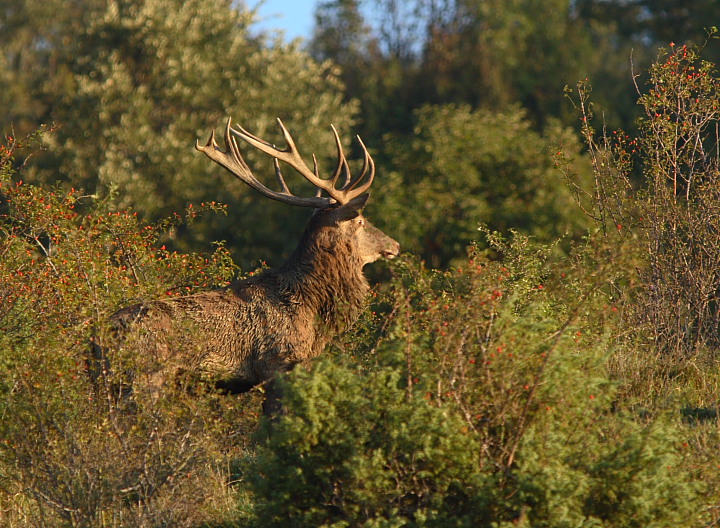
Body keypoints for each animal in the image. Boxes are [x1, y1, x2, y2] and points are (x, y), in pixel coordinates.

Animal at [101, 118, 400, 414]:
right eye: (360, 221)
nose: (395, 244)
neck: (311, 308)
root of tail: (102, 334)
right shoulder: (278, 361)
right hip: (145, 376)